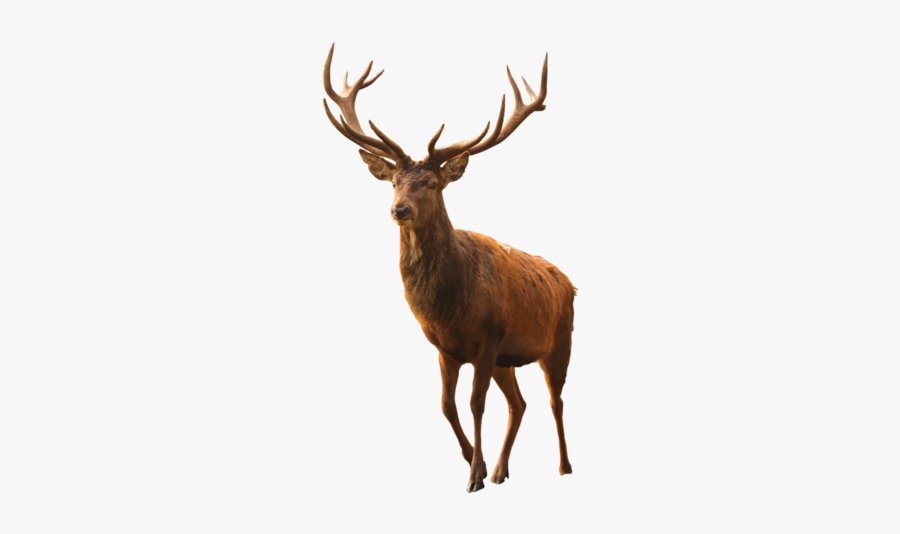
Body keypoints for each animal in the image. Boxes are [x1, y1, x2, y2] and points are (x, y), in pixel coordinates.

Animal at [322, 44, 576, 493]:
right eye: (394, 182)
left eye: (433, 184)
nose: (399, 210)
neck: (448, 307)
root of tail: (570, 281)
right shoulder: (445, 348)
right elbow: (445, 405)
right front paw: (475, 462)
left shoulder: (488, 337)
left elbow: (475, 404)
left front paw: (473, 474)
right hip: (509, 359)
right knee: (520, 403)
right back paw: (501, 470)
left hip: (560, 339)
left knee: (556, 400)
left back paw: (564, 467)